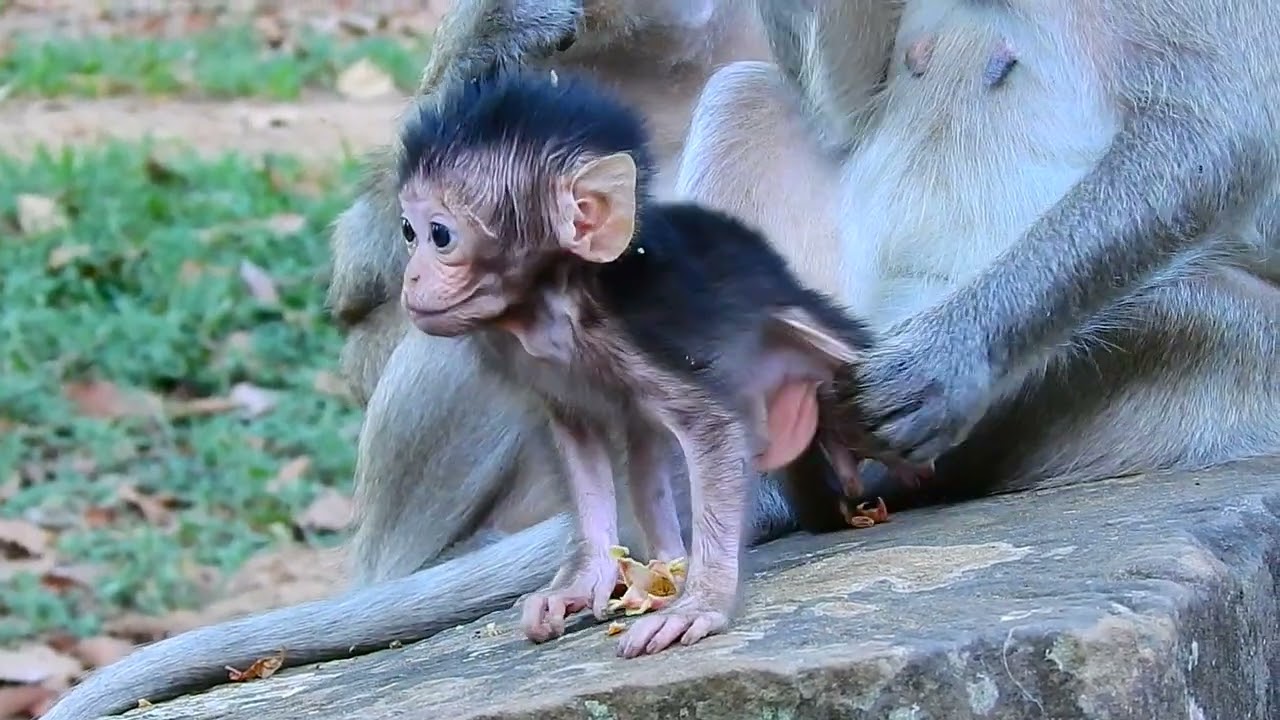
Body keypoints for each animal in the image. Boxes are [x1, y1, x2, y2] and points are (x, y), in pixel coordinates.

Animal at [394, 67, 881, 656]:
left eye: (439, 235)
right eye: (408, 231)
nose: (411, 278)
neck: (554, 305)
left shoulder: (632, 336)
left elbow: (714, 429)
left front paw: (703, 602)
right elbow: (578, 440)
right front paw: (586, 579)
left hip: (802, 320)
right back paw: (669, 563)